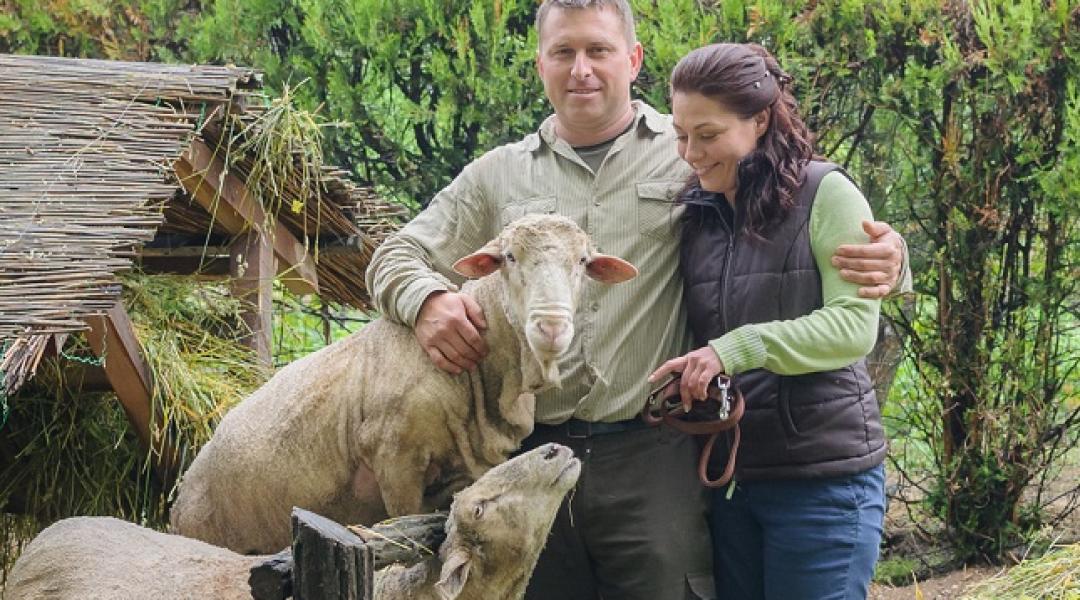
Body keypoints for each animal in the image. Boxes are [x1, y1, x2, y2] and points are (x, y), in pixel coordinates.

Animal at [167, 214, 630, 552]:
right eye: (510, 258)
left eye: (583, 262)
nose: (551, 326)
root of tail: (180, 494)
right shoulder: (395, 457)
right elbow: (400, 523)